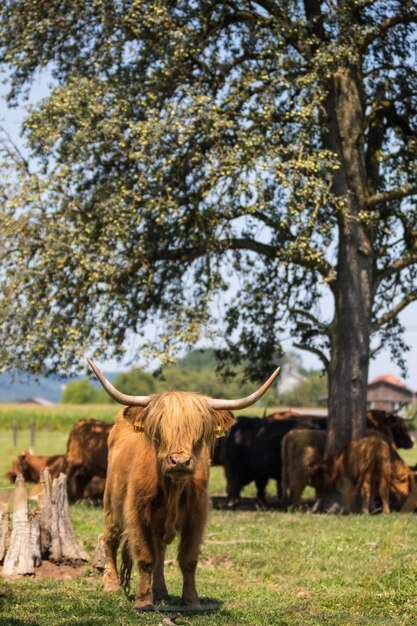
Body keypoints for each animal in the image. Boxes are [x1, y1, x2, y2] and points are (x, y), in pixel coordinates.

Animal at [88, 358, 280, 608]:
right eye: (159, 432)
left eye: (198, 434)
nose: (179, 461)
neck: (172, 489)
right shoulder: (136, 513)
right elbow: (146, 558)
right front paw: (143, 602)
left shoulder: (196, 515)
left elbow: (187, 560)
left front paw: (191, 602)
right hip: (111, 504)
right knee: (109, 539)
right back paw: (112, 585)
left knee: (159, 550)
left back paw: (161, 592)